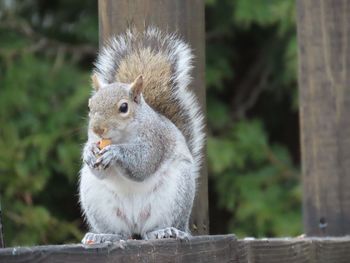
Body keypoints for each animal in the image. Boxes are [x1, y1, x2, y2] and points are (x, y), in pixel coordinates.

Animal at [78, 26, 205, 243]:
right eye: (90, 106)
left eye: (123, 107)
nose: (98, 129)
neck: (120, 137)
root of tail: (135, 222)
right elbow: (99, 170)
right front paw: (88, 152)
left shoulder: (155, 140)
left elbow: (143, 163)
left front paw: (115, 153)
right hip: (97, 199)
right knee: (121, 233)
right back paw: (104, 236)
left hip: (175, 195)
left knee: (151, 230)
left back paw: (163, 231)